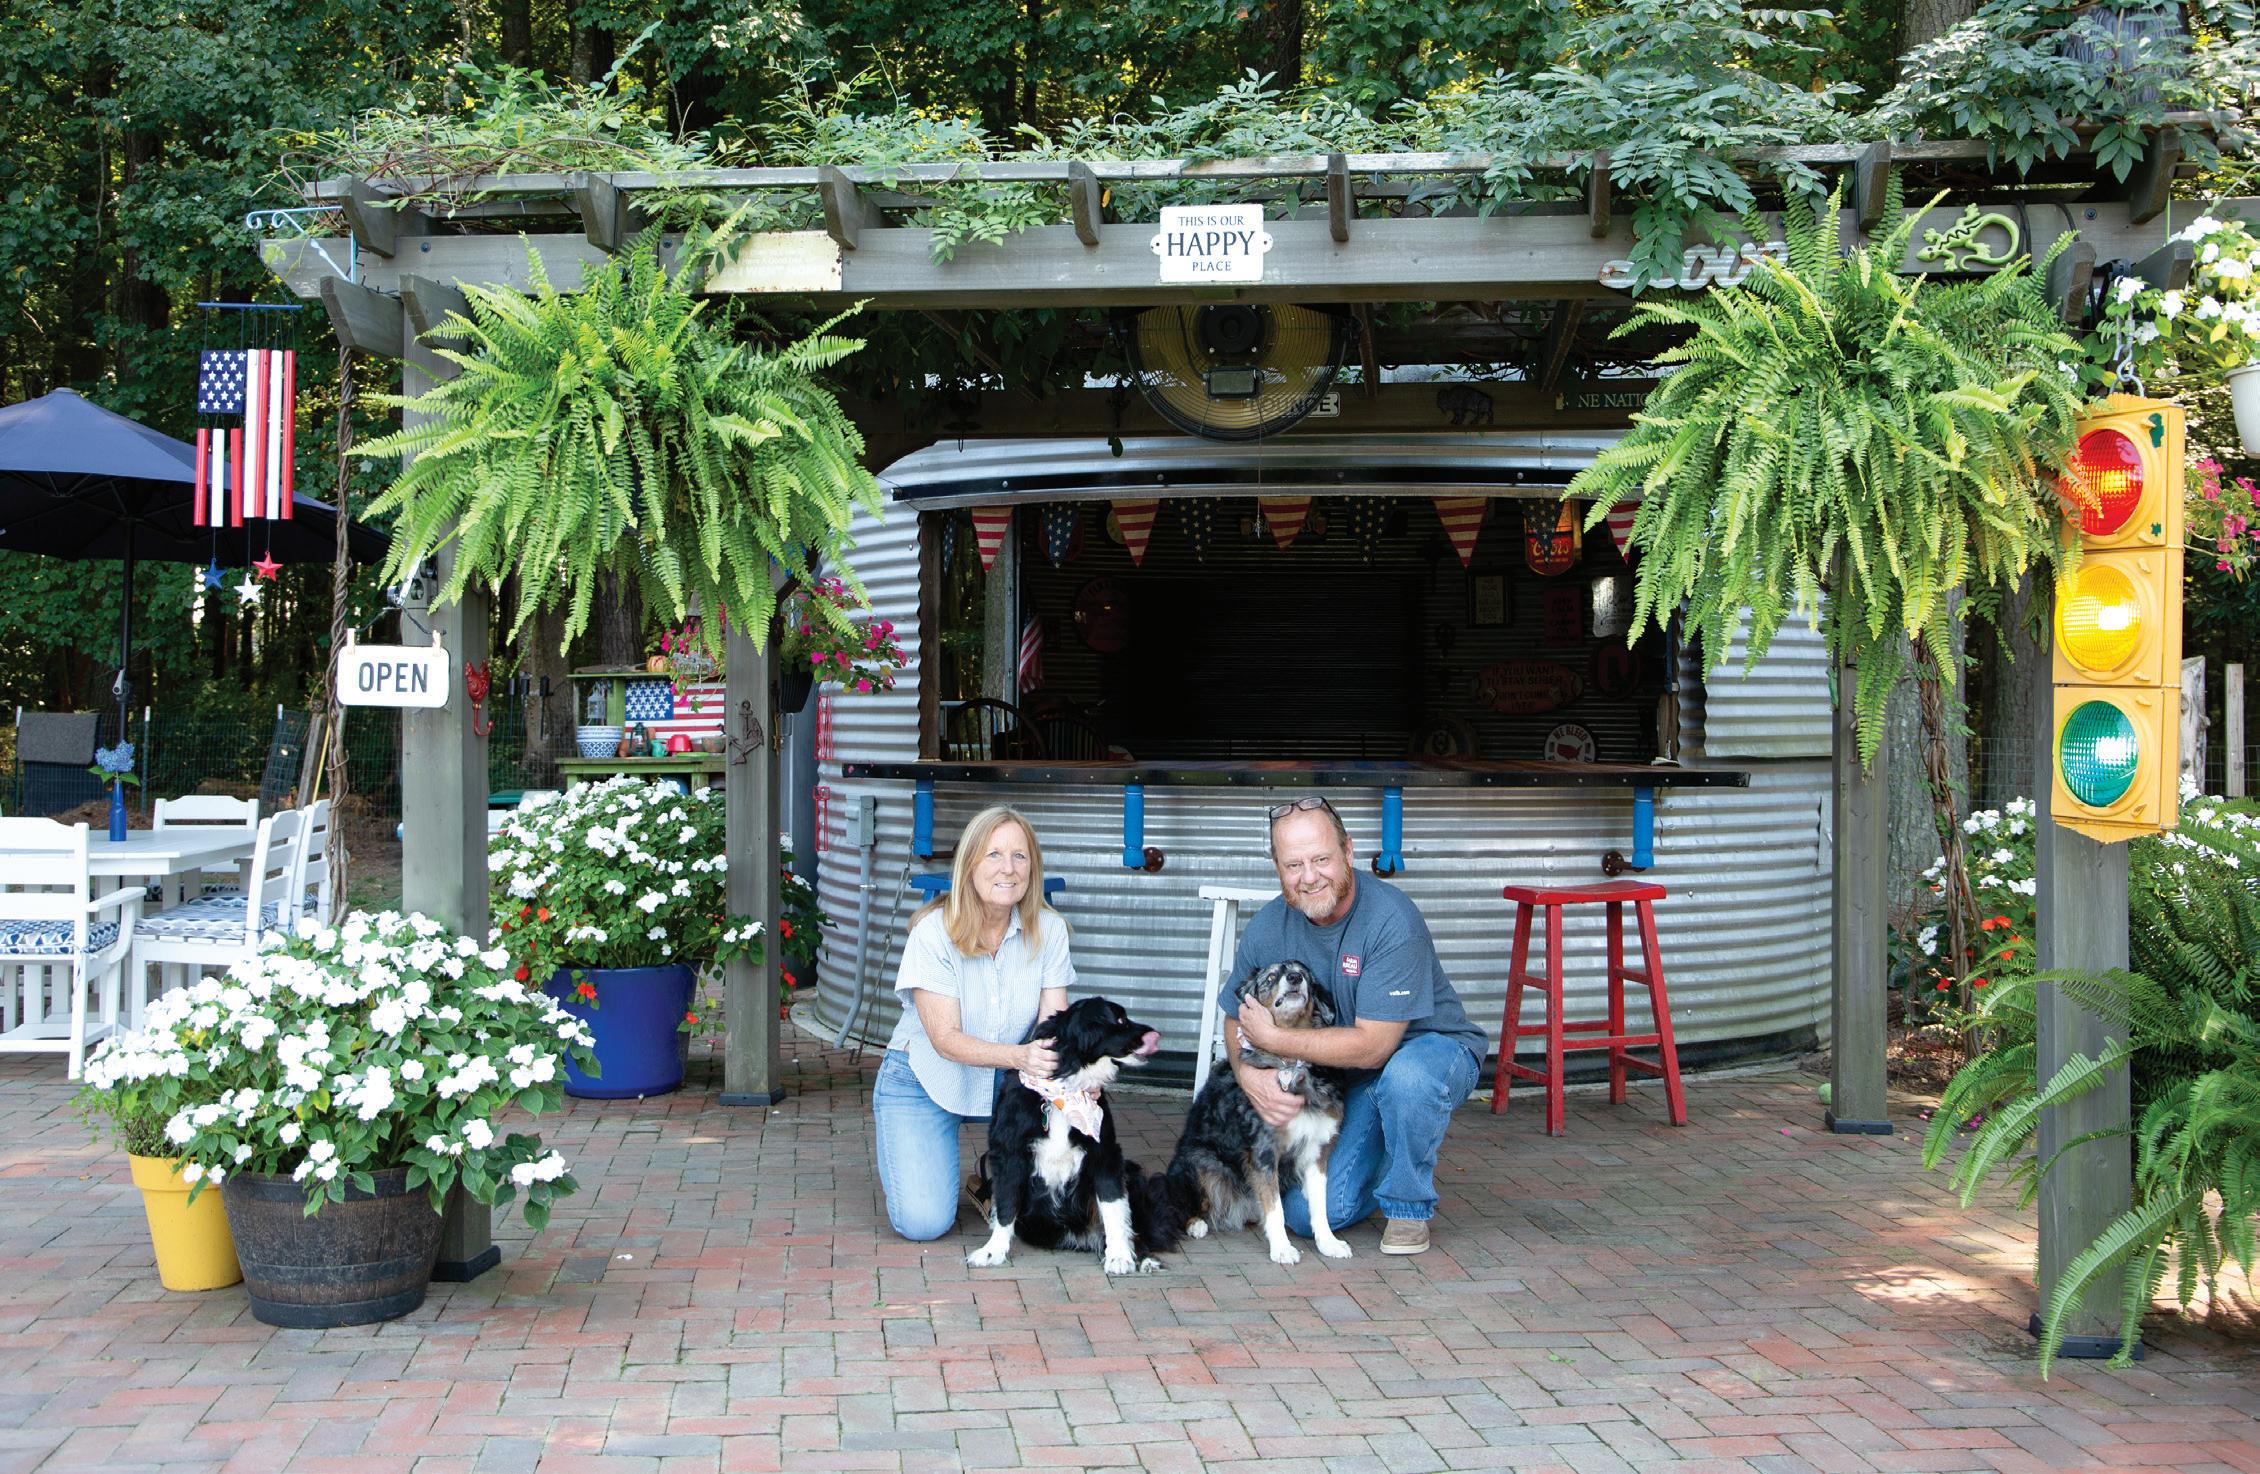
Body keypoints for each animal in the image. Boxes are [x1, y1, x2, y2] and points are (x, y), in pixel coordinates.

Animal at [966, 996, 1185, 1275]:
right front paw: (993, 1250)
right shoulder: (1009, 1152)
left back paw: (1143, 1258)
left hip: (1131, 1173)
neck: (1066, 1088)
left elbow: (1113, 1205)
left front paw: (1120, 1255)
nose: (1156, 1034)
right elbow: (1006, 1202)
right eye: (1120, 1020)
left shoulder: (1106, 1153)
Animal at [1165, 961, 1353, 1264]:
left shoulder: (1317, 1149)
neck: (1291, 1063)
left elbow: (1320, 1204)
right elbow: (1274, 1207)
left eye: (1304, 975)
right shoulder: (1264, 1151)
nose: (1295, 978)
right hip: (1201, 1160)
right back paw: (1196, 1223)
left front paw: (1329, 1242)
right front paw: (1282, 1248)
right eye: (1271, 977)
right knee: (1182, 1201)